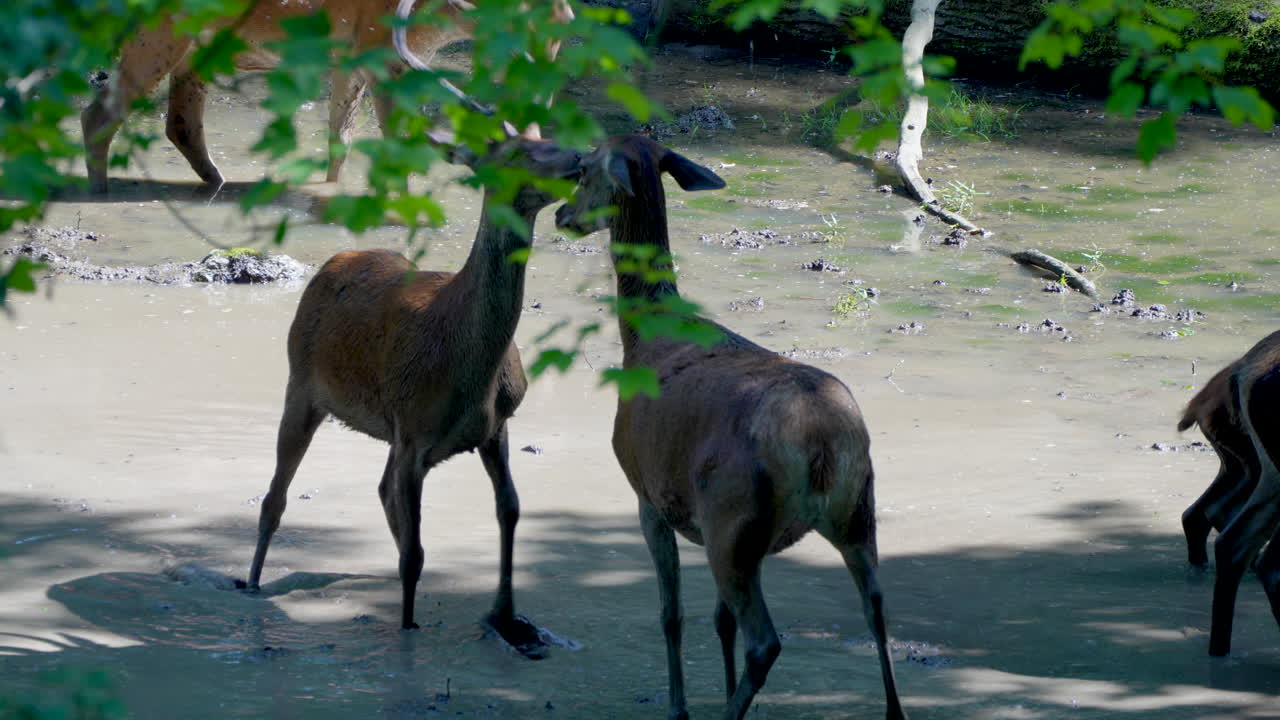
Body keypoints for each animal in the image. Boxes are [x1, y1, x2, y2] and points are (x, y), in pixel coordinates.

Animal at [80, 0, 572, 193]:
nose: (567, 23)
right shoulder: (382, 60)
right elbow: (393, 143)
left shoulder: (351, 61)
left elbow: (341, 138)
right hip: (160, 36)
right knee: (96, 114)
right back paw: (98, 190)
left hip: (199, 49)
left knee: (179, 122)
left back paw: (217, 181)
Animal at [244, 131, 581, 659]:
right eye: (512, 152)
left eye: (543, 136)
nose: (580, 158)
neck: (470, 370)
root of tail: (334, 261)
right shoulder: (414, 435)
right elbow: (418, 552)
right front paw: (408, 631)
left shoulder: (494, 427)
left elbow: (509, 509)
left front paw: (508, 618)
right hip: (302, 384)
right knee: (275, 498)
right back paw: (251, 583)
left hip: (384, 426)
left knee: (381, 490)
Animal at [555, 135, 907, 720]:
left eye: (583, 168)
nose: (561, 214)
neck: (642, 337)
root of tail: (819, 444)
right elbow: (719, 624)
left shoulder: (645, 490)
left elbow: (671, 615)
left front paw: (679, 708)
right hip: (856, 508)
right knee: (876, 606)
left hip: (734, 519)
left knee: (765, 641)